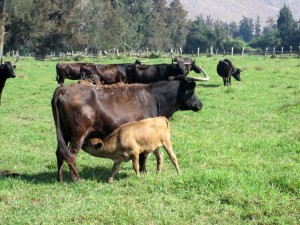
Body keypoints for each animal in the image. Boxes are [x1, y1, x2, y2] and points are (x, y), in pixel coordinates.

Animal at [51, 80, 203, 182]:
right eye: (192, 92)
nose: (200, 104)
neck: (154, 97)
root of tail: (64, 89)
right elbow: (143, 157)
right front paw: (143, 172)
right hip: (78, 136)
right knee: (71, 155)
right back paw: (76, 179)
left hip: (63, 134)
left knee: (59, 153)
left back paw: (60, 178)